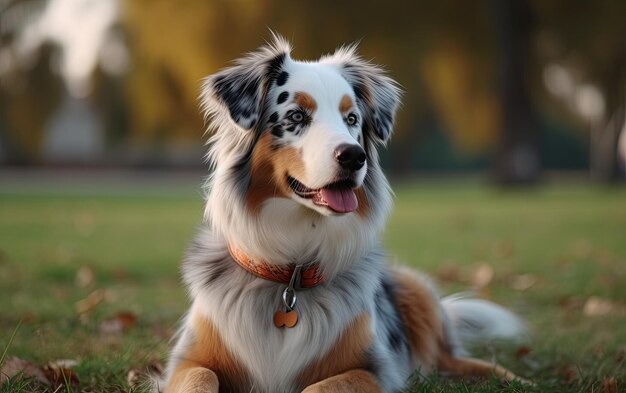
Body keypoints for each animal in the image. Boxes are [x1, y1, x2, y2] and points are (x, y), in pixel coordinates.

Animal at [158, 35, 524, 390]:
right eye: (296, 117)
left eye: (352, 119)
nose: (354, 156)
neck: (291, 278)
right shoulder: (188, 362)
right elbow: (201, 378)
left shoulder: (374, 368)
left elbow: (319, 387)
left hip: (416, 289)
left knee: (457, 361)